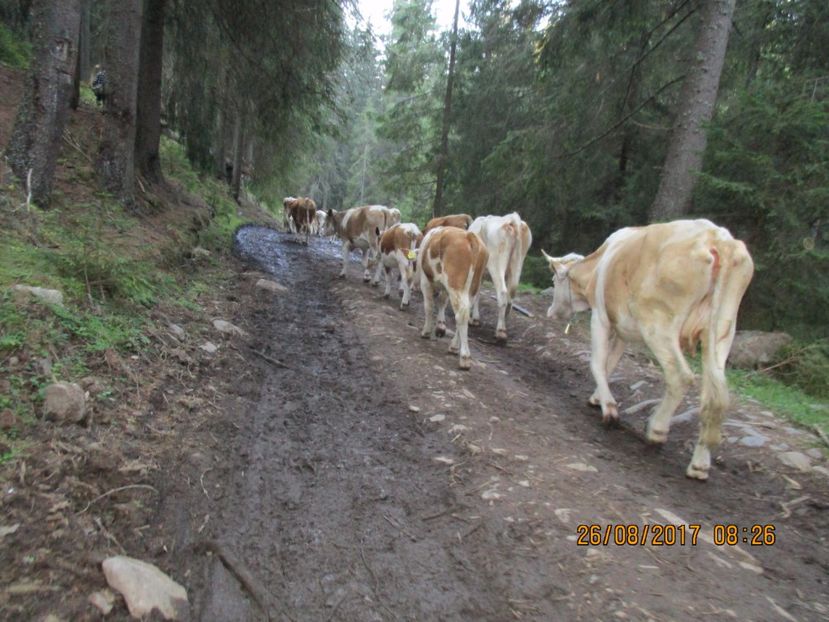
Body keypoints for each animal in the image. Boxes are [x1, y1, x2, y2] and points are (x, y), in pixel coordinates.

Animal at [418, 227, 488, 370]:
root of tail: (469, 235)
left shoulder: (425, 281)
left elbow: (429, 306)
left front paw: (426, 331)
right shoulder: (445, 288)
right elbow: (442, 302)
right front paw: (440, 326)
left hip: (454, 284)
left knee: (461, 314)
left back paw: (464, 357)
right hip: (472, 288)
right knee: (464, 313)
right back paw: (454, 347)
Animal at [466, 213, 532, 342]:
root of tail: (512, 219)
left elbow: (475, 292)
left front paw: (473, 318)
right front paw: (475, 318)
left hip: (496, 263)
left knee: (502, 292)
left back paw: (500, 331)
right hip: (517, 263)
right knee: (511, 295)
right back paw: (504, 325)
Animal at [540, 221, 752, 482]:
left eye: (553, 280)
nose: (551, 312)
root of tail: (718, 239)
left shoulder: (600, 316)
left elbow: (598, 362)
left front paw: (609, 409)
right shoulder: (622, 330)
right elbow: (611, 362)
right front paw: (597, 398)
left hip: (658, 323)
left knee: (681, 376)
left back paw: (657, 430)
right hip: (722, 330)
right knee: (717, 396)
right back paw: (699, 465)